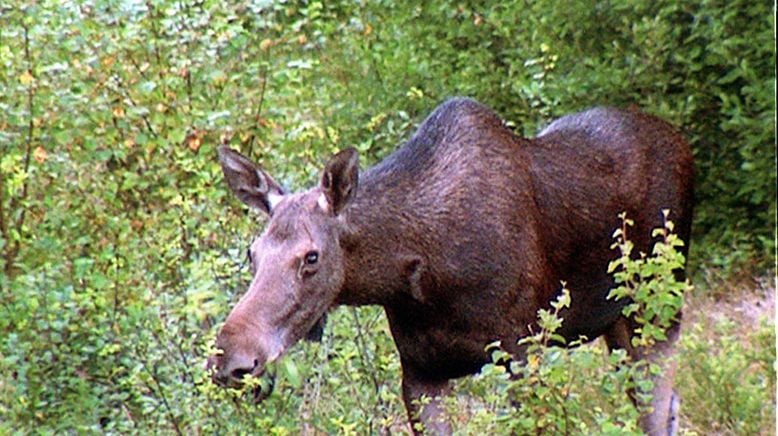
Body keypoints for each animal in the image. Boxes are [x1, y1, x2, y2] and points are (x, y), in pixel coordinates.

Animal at [206, 97, 692, 434]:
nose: (230, 358)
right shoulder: (420, 371)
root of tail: (683, 143)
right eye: (252, 252)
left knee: (661, 407)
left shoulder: (521, 353)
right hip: (618, 322)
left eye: (311, 256)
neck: (423, 275)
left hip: (659, 307)